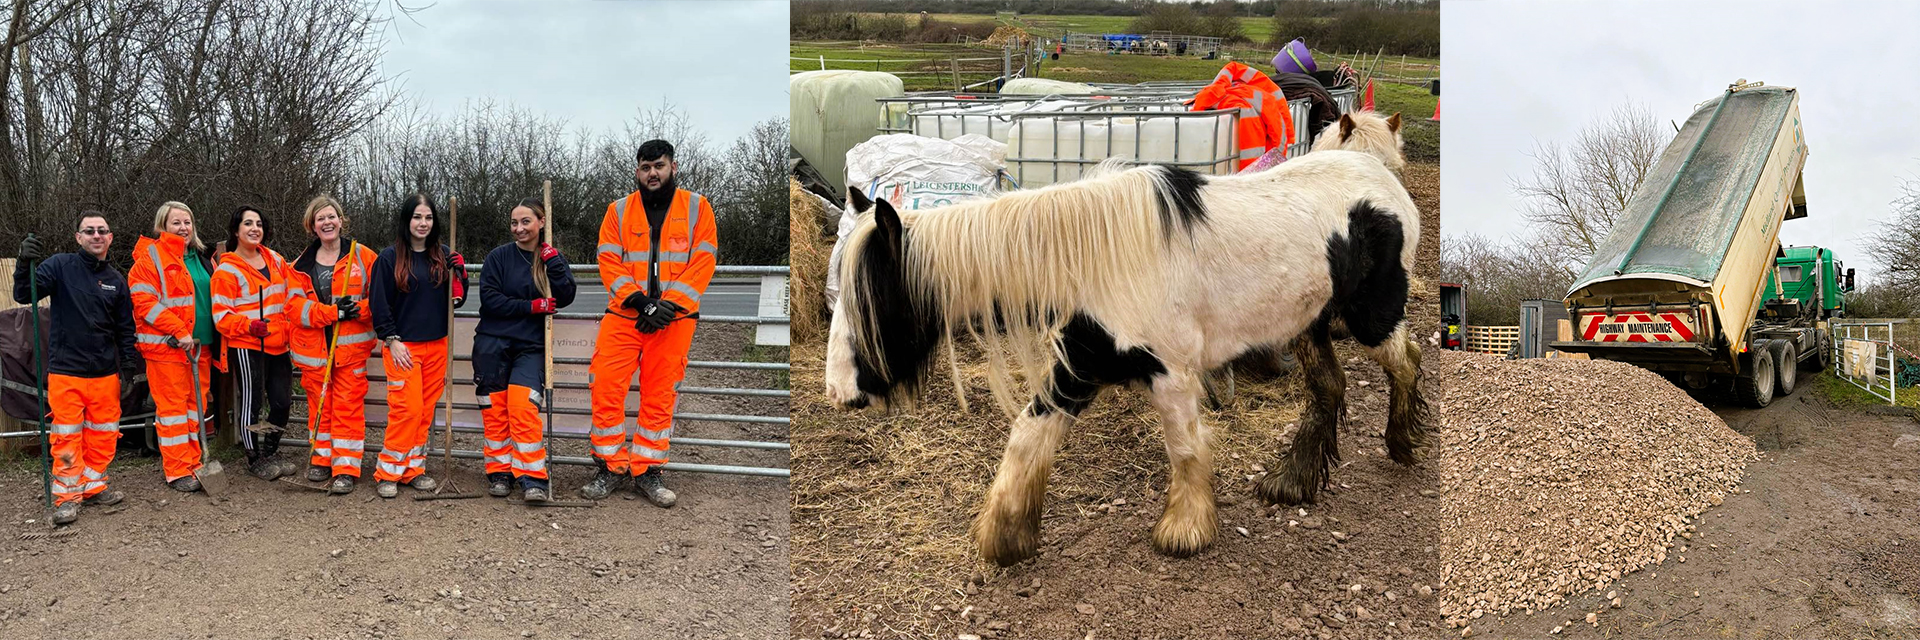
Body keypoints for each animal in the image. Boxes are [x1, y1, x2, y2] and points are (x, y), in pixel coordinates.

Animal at [817, 147, 1436, 561]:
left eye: (872, 300)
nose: (839, 392)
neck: (1093, 260)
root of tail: (1381, 175)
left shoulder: (1170, 375)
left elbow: (1185, 449)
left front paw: (1185, 531)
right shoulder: (1079, 367)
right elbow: (1026, 438)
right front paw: (1005, 537)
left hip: (1371, 318)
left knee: (1405, 362)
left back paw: (1403, 442)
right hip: (1308, 324)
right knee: (1330, 386)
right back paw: (1294, 483)